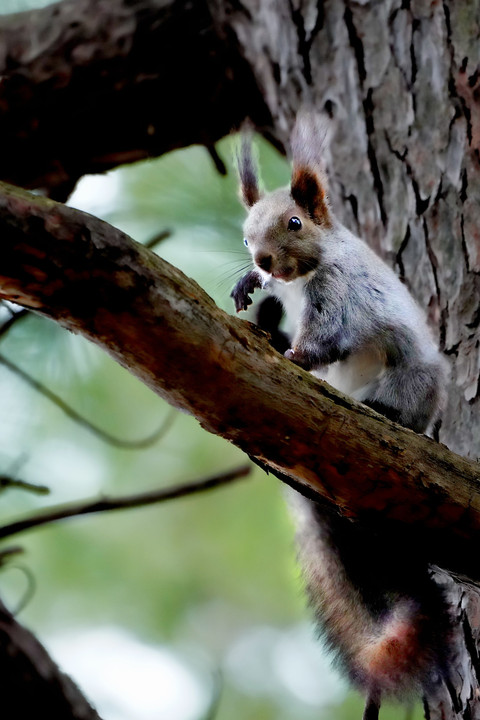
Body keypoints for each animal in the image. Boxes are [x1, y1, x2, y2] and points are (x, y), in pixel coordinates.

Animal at [232, 114, 454, 720]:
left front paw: (294, 354)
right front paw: (250, 289)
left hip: (413, 378)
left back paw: (385, 410)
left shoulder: (342, 297)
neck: (305, 274)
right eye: (245, 233)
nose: (261, 261)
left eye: (294, 222)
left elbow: (327, 338)